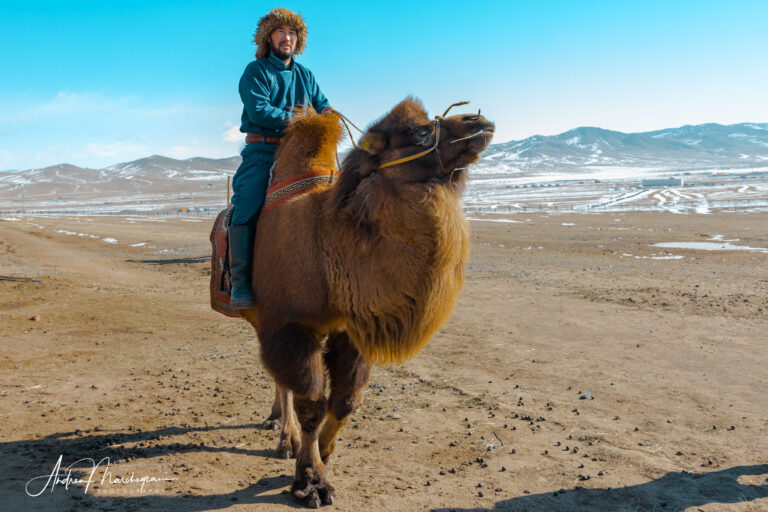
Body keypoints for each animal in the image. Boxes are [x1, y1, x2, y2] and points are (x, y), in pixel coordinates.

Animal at [232, 97, 492, 508]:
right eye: (420, 133)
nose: (478, 120)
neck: (328, 245)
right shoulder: (292, 328)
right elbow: (312, 404)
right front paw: (311, 482)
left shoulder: (349, 330)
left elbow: (345, 401)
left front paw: (324, 452)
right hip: (263, 318)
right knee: (283, 382)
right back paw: (284, 437)